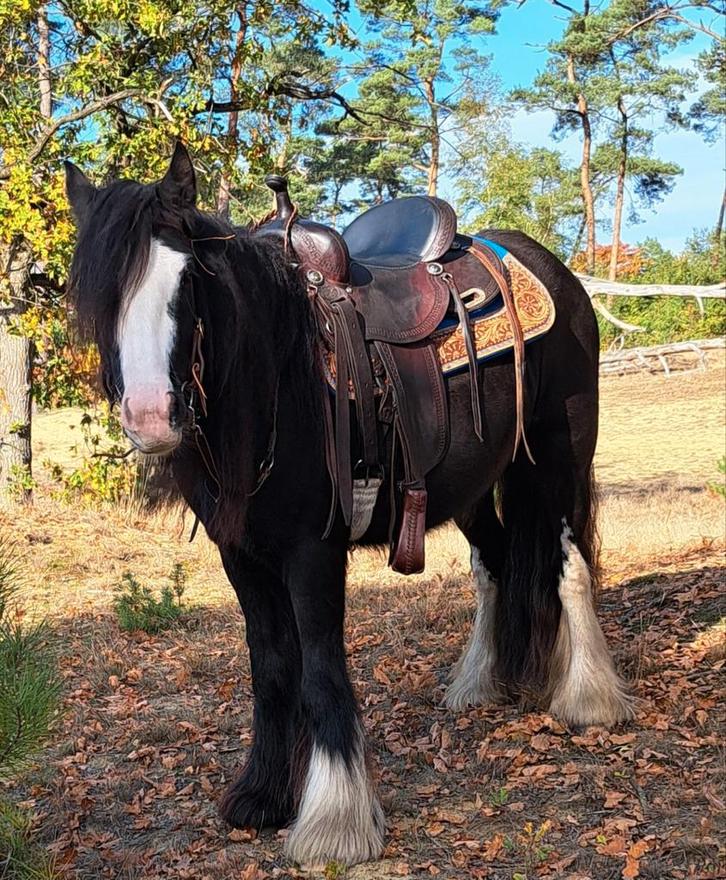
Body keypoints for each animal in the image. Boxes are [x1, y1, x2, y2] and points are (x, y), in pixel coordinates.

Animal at [64, 143, 633, 867]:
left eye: (187, 281)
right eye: (99, 294)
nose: (150, 417)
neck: (277, 374)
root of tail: (550, 267)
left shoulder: (314, 551)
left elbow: (320, 669)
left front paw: (334, 820)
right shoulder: (241, 555)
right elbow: (272, 665)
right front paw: (262, 794)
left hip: (558, 458)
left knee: (569, 565)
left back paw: (589, 697)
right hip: (473, 485)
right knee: (499, 566)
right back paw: (481, 683)